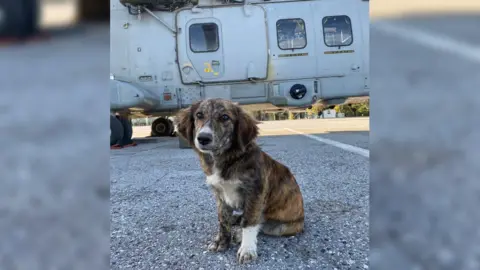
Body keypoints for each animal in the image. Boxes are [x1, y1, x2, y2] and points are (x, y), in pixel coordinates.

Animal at [174, 98, 306, 264]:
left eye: (225, 117)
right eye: (199, 115)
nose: (203, 138)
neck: (227, 159)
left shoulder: (254, 193)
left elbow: (249, 223)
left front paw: (247, 249)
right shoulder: (220, 195)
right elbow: (222, 221)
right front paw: (222, 241)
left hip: (282, 227)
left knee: (259, 224)